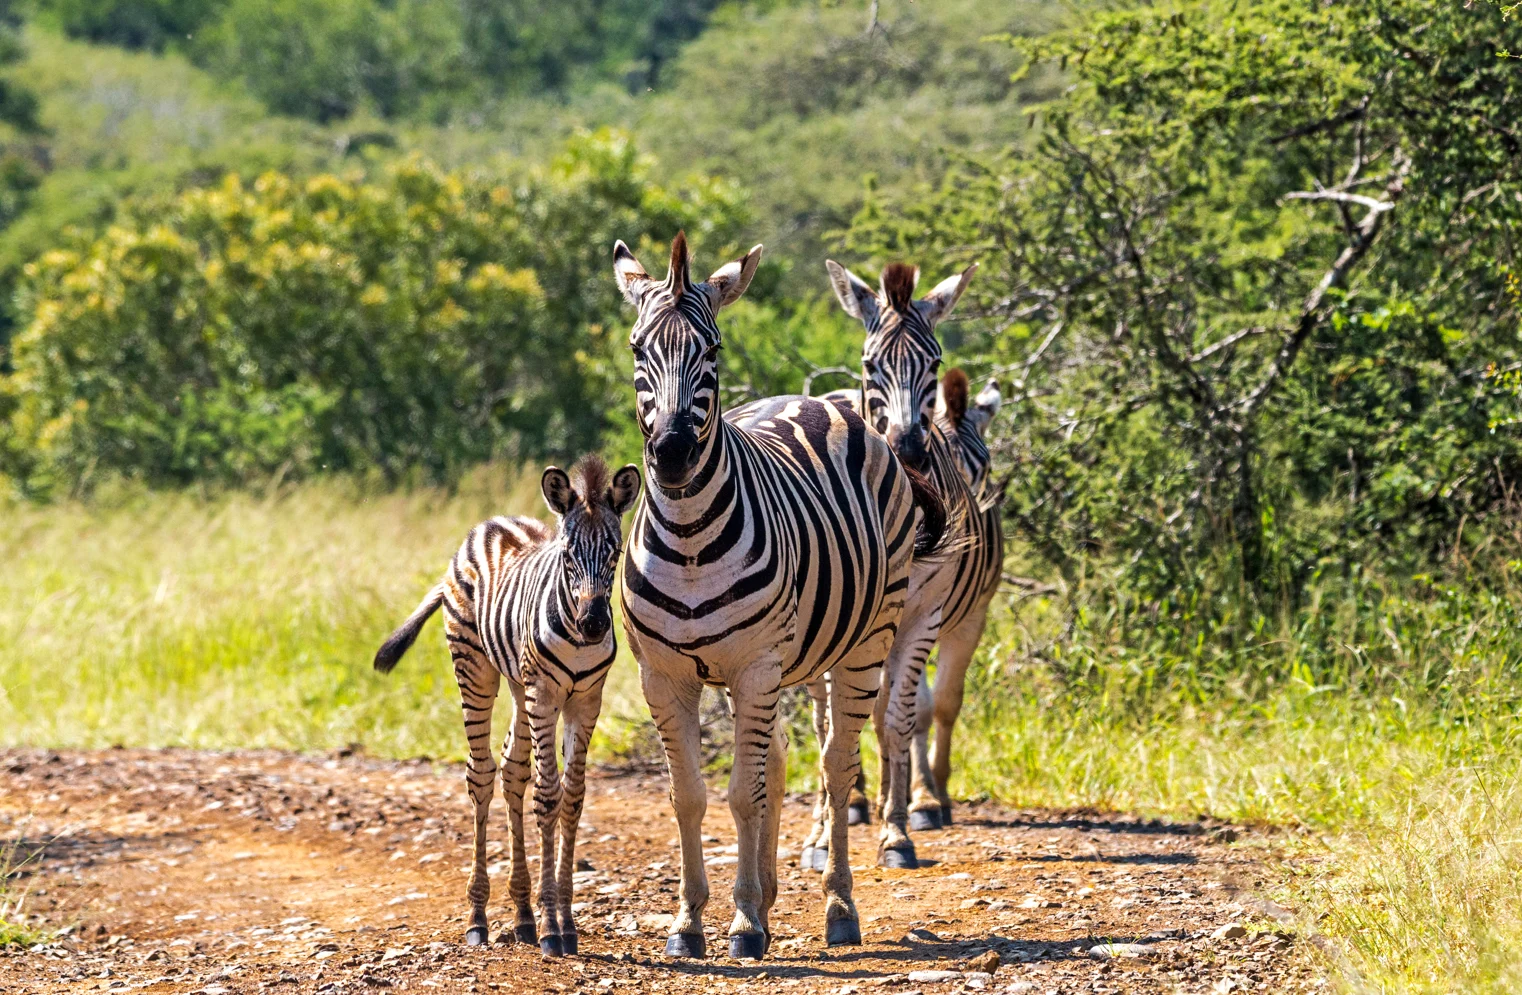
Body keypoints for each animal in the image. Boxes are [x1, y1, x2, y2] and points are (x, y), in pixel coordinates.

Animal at [372, 456, 640, 956]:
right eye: (568, 555)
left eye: (614, 552)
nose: (594, 624)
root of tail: (490, 523)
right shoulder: (546, 694)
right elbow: (548, 796)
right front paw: (554, 926)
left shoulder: (585, 701)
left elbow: (573, 798)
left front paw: (564, 922)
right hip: (477, 668)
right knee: (481, 775)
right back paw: (478, 917)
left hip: (520, 684)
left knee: (513, 771)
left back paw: (522, 917)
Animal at [612, 232, 943, 961]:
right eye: (638, 349)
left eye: (711, 351)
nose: (672, 454)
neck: (688, 539)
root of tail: (815, 401)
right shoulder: (664, 676)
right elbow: (690, 796)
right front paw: (689, 921)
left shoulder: (755, 667)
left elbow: (741, 792)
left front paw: (741, 922)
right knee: (782, 762)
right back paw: (768, 895)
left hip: (864, 640)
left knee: (837, 761)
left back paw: (839, 906)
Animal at [809, 260, 1003, 853]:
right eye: (871, 363)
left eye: (934, 362)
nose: (909, 448)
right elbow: (856, 719)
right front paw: (847, 814)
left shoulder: (935, 613)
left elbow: (906, 713)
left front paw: (902, 822)